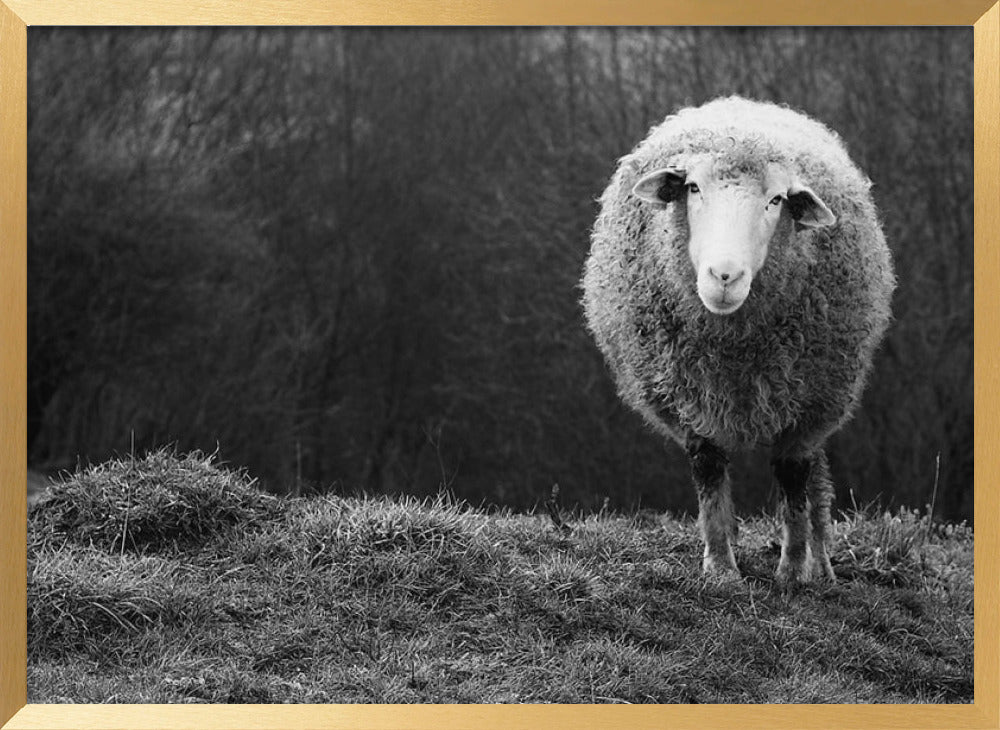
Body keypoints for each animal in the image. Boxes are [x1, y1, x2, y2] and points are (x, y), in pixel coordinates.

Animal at [582, 96, 895, 585]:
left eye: (776, 200)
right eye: (692, 188)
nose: (724, 276)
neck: (734, 351)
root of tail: (742, 104)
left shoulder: (808, 405)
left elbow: (793, 479)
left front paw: (793, 570)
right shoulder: (689, 396)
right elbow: (709, 470)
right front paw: (720, 566)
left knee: (815, 481)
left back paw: (821, 564)